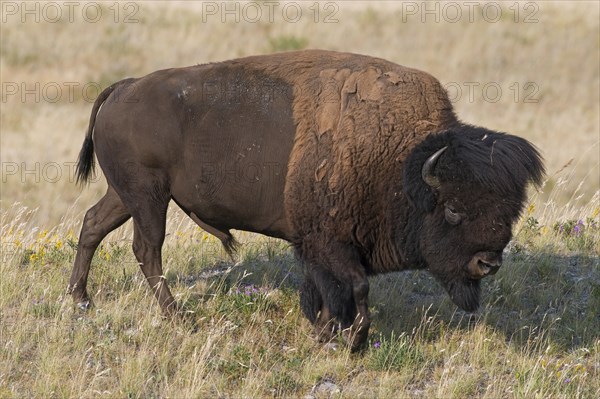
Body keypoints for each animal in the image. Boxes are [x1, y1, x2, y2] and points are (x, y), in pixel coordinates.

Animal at [69, 50, 544, 350]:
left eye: (511, 211)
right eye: (453, 209)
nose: (488, 263)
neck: (397, 159)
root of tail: (124, 88)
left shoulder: (319, 246)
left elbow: (330, 290)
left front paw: (325, 330)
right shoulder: (328, 243)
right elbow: (354, 288)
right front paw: (351, 338)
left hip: (125, 195)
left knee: (93, 225)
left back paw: (80, 300)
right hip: (149, 196)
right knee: (147, 248)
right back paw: (177, 315)